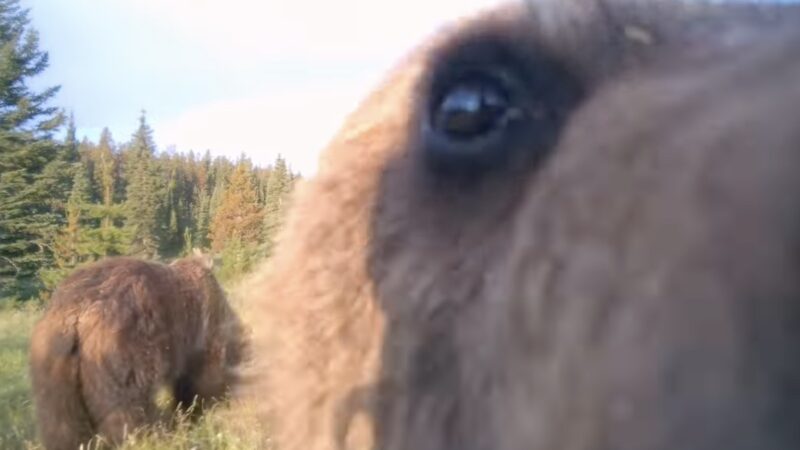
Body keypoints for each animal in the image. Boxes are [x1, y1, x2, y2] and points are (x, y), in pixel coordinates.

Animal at [29, 253, 245, 450]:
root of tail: (76, 314)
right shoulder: (202, 331)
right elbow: (204, 374)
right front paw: (201, 409)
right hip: (120, 350)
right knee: (126, 408)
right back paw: (145, 437)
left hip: (53, 363)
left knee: (60, 419)